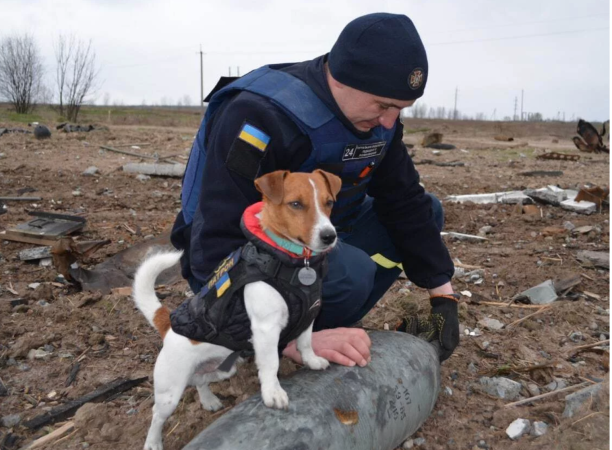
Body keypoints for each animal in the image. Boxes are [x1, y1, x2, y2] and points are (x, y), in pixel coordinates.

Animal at [132, 170, 342, 450]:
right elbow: (271, 363)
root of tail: (167, 325)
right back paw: (153, 442)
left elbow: (305, 342)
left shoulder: (309, 314)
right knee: (157, 415)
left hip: (222, 369)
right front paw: (273, 393)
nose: (329, 236)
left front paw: (311, 361)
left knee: (200, 381)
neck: (296, 263)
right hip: (170, 390)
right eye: (296, 204)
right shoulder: (266, 329)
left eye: (329, 202)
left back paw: (208, 400)